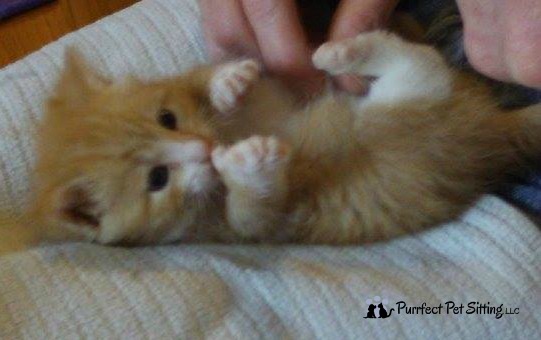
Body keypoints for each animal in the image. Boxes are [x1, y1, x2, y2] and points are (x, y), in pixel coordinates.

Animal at [28, 31, 540, 244]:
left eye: (168, 118)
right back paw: (349, 52)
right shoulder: (248, 229)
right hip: (418, 96)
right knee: (422, 62)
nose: (205, 150)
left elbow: (246, 92)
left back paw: (342, 51)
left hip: (407, 93)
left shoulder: (271, 108)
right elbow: (255, 208)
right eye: (157, 180)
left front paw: (227, 83)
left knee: (419, 58)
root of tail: (489, 123)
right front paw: (250, 163)